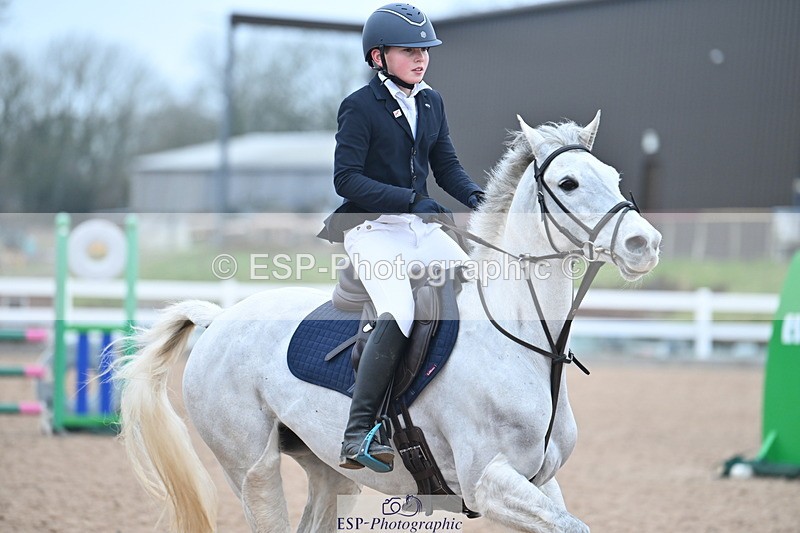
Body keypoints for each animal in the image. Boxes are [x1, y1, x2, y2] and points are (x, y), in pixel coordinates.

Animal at [116, 111, 661, 533]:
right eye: (568, 183)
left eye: (614, 177)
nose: (645, 244)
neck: (524, 344)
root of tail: (219, 319)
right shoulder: (488, 482)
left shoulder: (541, 483)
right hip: (252, 469)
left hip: (329, 473)